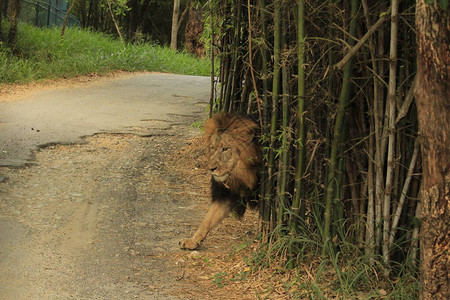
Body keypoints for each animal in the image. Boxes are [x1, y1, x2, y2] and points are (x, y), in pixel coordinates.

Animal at [179, 113, 262, 250]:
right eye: (212, 148)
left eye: (225, 149)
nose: (211, 168)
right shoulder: (228, 193)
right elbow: (208, 218)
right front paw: (193, 240)